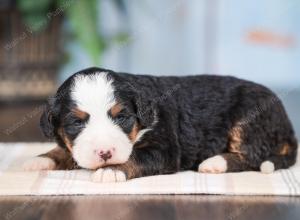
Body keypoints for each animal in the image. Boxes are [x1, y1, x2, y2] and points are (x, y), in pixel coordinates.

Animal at [22, 67, 298, 182]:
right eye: (77, 122)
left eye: (121, 117)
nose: (105, 153)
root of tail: (287, 124)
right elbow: (63, 151)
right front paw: (40, 160)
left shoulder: (164, 149)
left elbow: (135, 157)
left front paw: (112, 170)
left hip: (249, 119)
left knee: (253, 155)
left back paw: (215, 163)